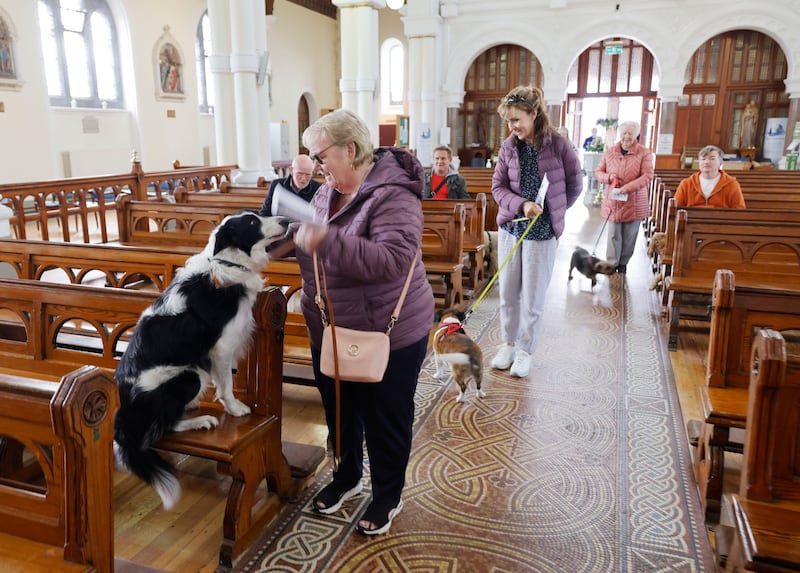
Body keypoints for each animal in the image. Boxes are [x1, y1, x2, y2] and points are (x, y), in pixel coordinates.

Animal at [114, 212, 292, 508]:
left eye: (259, 214)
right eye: (252, 222)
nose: (286, 220)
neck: (227, 261)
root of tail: (125, 414)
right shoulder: (221, 348)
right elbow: (227, 386)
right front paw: (235, 409)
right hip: (189, 376)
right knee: (164, 427)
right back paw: (201, 420)